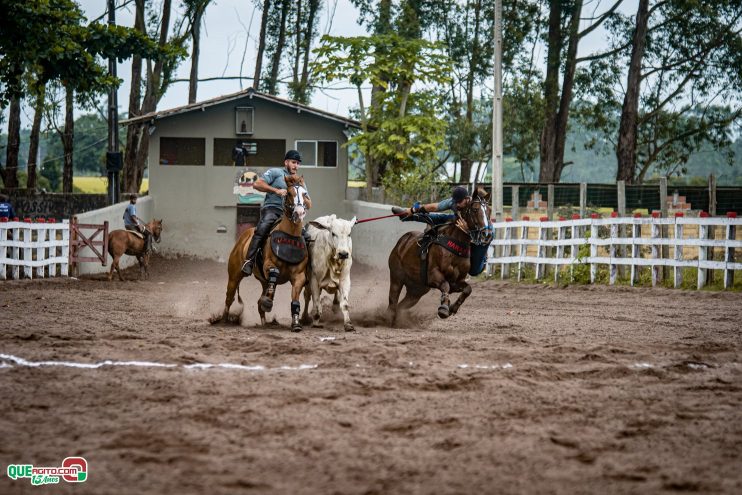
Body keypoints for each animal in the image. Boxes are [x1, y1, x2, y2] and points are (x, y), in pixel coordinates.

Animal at [221, 174, 314, 334]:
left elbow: (295, 299)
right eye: (289, 193)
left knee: (259, 302)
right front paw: (268, 301)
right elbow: (274, 272)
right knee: (229, 297)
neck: (290, 236)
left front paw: (296, 323)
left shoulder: (299, 276)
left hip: (262, 281)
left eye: (305, 194)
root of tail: (244, 236)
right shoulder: (268, 265)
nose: (299, 213)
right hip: (234, 275)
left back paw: (264, 321)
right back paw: (224, 320)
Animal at [390, 188, 494, 328]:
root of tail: (401, 242)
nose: (487, 234)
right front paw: (444, 309)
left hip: (417, 290)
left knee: (401, 306)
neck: (456, 245)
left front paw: (453, 308)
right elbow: (445, 286)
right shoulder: (433, 275)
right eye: (475, 209)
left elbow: (468, 289)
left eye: (489, 210)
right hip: (396, 278)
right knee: (392, 302)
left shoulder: (456, 281)